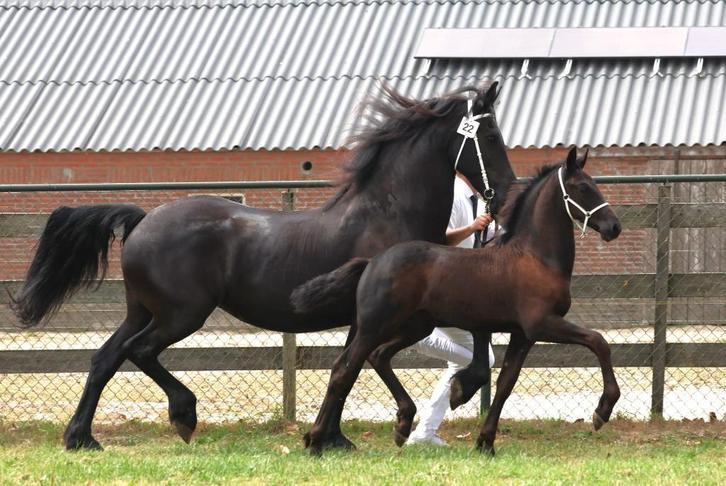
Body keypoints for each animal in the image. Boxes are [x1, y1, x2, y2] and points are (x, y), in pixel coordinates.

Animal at [11, 82, 517, 451]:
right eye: (491, 137)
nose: (508, 194)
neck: (386, 213)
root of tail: (142, 220)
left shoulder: (372, 318)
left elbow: (349, 367)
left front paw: (332, 437)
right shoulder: (386, 316)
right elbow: (354, 367)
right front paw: (340, 437)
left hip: (144, 310)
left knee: (106, 358)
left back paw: (81, 438)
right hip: (181, 314)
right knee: (140, 352)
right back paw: (184, 415)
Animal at [292, 147, 622, 455]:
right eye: (584, 188)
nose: (614, 227)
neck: (535, 257)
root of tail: (372, 262)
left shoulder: (522, 335)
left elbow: (505, 384)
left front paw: (485, 442)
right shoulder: (542, 325)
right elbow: (599, 341)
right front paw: (602, 410)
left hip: (415, 327)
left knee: (378, 357)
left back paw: (402, 423)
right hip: (375, 327)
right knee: (344, 370)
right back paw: (317, 441)